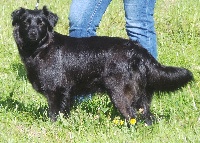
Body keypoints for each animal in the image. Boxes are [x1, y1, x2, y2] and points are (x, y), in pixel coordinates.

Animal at [11, 6, 193, 125]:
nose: (33, 33)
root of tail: (138, 50)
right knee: (147, 118)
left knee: (133, 117)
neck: (41, 48)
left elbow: (55, 115)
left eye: (41, 23)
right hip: (141, 95)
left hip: (120, 93)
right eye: (26, 22)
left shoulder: (56, 91)